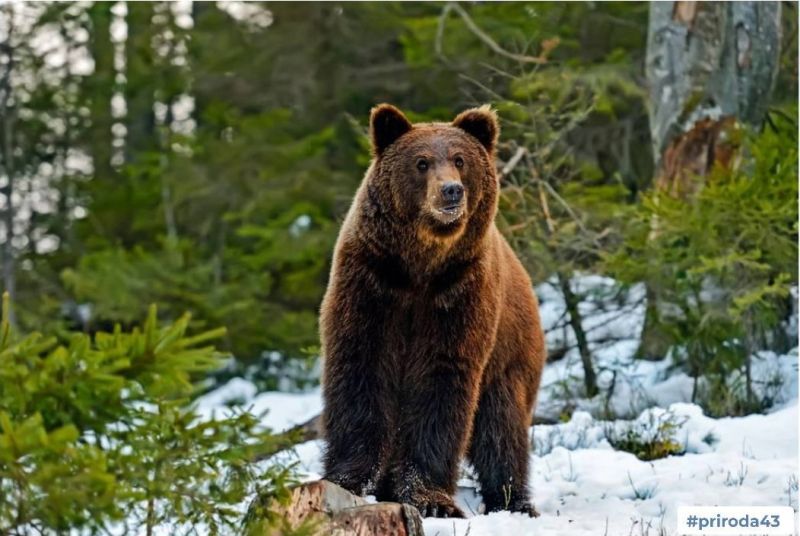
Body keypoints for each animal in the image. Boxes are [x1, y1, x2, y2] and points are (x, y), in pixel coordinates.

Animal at [318, 102, 544, 516]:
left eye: (460, 159)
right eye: (421, 162)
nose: (451, 190)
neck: (421, 266)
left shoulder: (458, 293)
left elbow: (441, 381)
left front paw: (430, 499)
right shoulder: (372, 283)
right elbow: (361, 368)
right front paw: (351, 478)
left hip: (510, 358)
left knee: (501, 429)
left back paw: (514, 501)